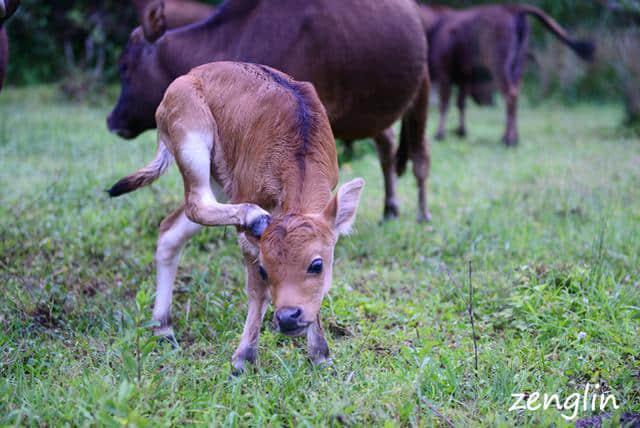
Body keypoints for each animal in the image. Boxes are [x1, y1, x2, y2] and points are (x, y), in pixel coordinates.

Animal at [107, 1, 432, 224]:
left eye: (125, 66)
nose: (112, 120)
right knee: (387, 146)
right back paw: (390, 209)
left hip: (422, 91)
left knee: (419, 158)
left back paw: (422, 214)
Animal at [107, 61, 362, 372]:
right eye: (265, 269)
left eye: (317, 264)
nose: (287, 316)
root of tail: (187, 77)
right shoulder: (247, 215)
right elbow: (257, 291)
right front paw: (243, 358)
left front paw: (320, 355)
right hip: (192, 136)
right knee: (196, 204)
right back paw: (253, 216)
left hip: (216, 177)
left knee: (170, 230)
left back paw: (162, 328)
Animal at [420, 2, 596, 147]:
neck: (435, 27)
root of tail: (514, 9)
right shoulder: (464, 78)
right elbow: (461, 104)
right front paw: (461, 132)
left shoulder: (445, 75)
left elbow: (445, 103)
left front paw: (439, 134)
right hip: (517, 68)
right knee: (514, 97)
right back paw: (510, 138)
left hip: (500, 66)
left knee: (510, 95)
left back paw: (509, 141)